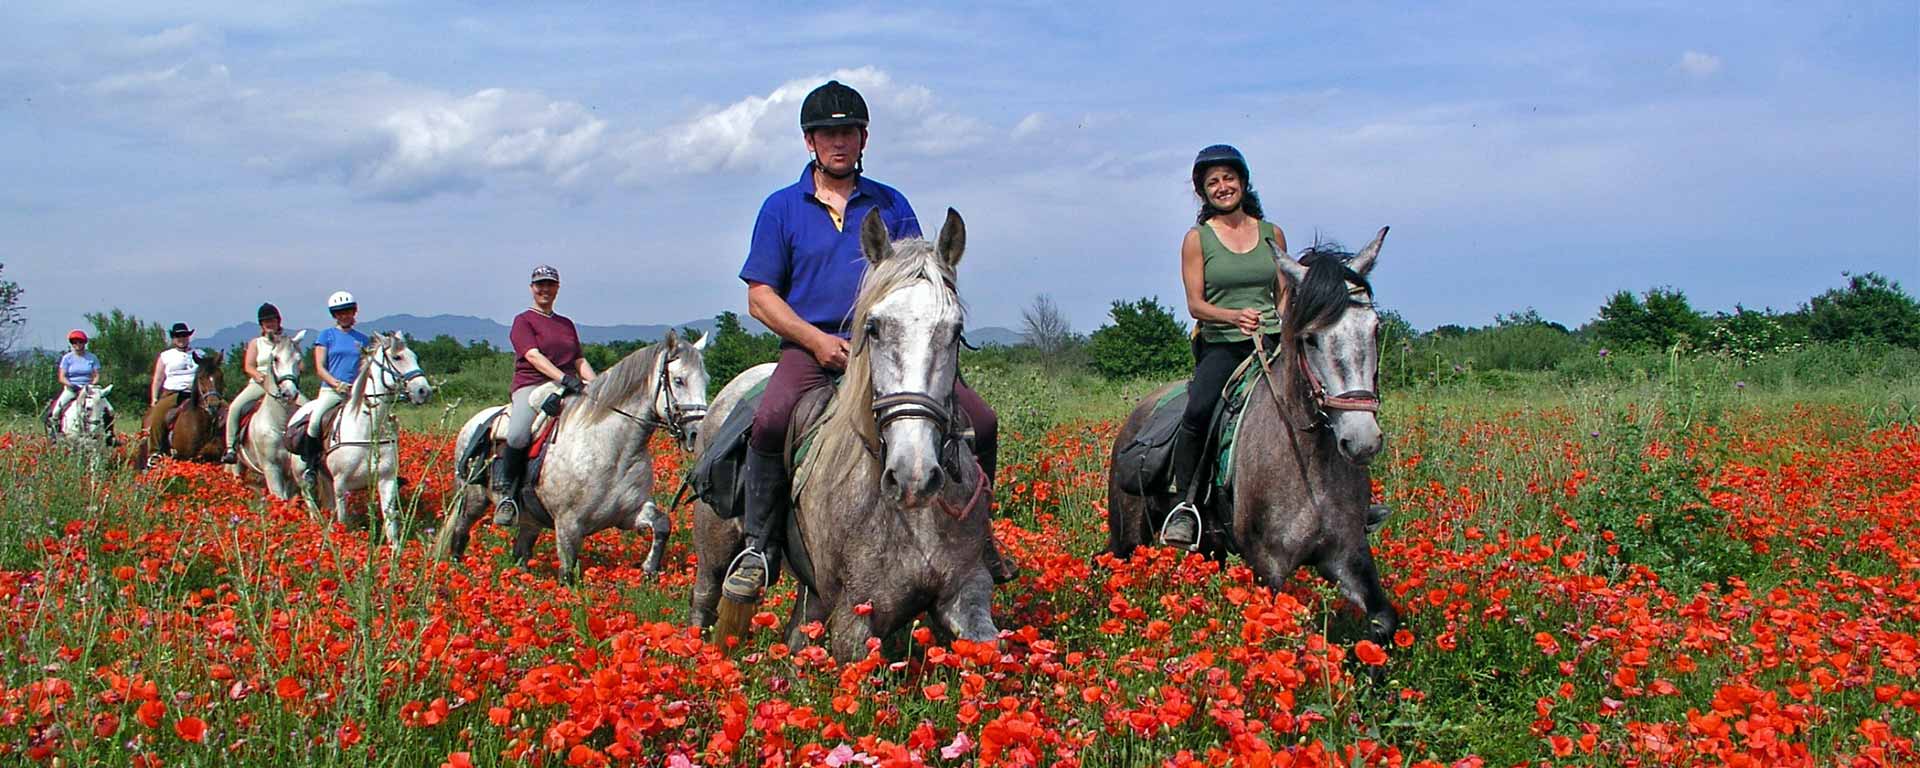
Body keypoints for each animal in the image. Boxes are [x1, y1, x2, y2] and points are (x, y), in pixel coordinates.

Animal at [234, 330, 309, 499]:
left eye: (298, 360)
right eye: (275, 358)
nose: (289, 393)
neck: (280, 424)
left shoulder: (290, 473)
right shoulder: (272, 468)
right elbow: (279, 498)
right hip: (236, 464)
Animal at [297, 332, 433, 549]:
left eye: (415, 357)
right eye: (397, 357)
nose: (424, 391)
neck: (367, 430)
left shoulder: (386, 480)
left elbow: (390, 521)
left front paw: (395, 552)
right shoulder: (341, 484)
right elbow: (344, 520)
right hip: (303, 476)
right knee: (309, 499)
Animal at [1113, 224, 1397, 652]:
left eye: (1375, 329)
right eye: (1310, 338)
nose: (1362, 440)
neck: (1307, 461)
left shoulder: (1347, 554)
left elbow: (1384, 623)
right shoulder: (1269, 566)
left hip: (1211, 546)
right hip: (1126, 536)